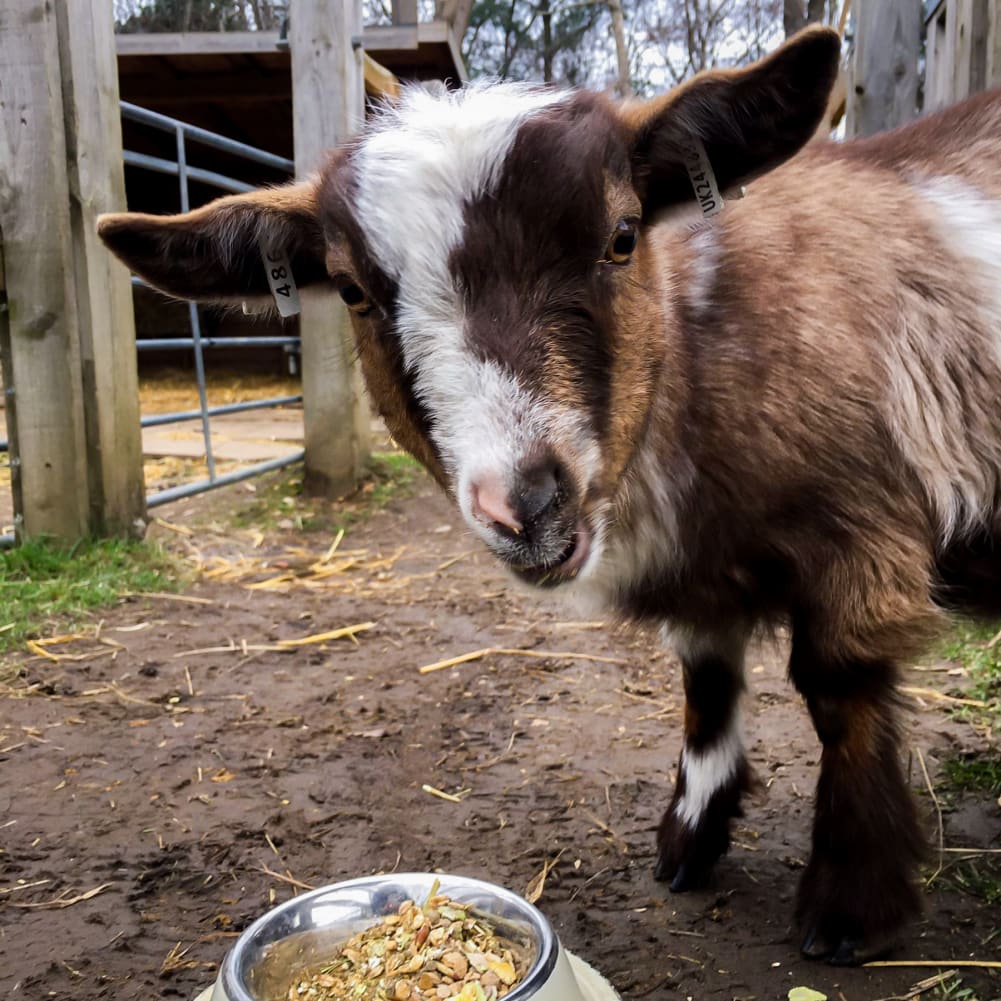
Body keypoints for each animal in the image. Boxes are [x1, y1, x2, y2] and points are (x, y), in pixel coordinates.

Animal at [97, 27, 1001, 965]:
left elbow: (836, 688)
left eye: (623, 235)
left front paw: (849, 904)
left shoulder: (858, 518)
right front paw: (687, 840)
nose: (525, 503)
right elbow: (706, 682)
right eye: (351, 289)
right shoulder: (702, 571)